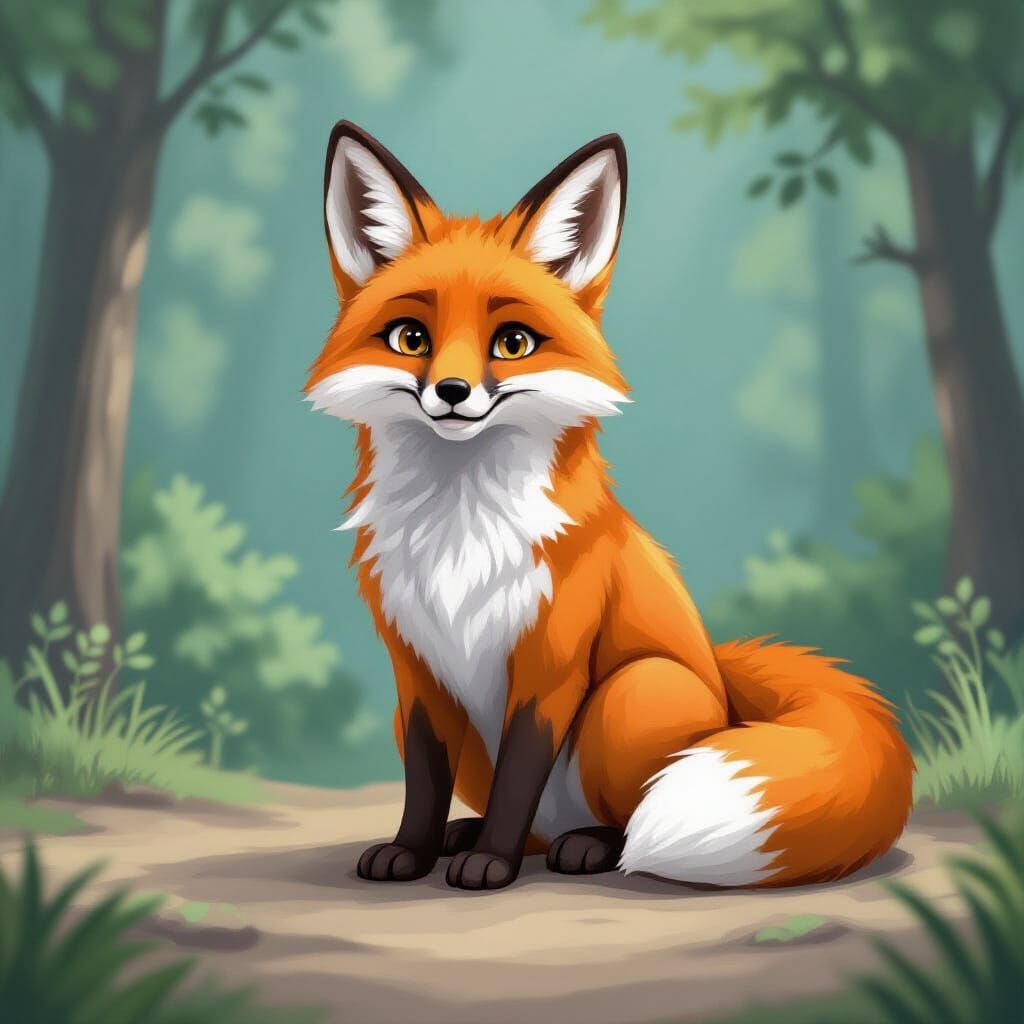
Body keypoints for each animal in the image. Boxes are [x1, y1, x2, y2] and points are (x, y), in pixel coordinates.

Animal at [305, 121, 914, 892]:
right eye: (411, 338)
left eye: (513, 343)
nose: (451, 392)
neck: (461, 530)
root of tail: (722, 684)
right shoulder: (415, 671)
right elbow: (424, 778)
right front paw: (411, 851)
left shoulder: (552, 662)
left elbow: (521, 773)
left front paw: (490, 863)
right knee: (534, 822)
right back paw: (468, 835)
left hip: (632, 695)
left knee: (623, 823)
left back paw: (587, 846)